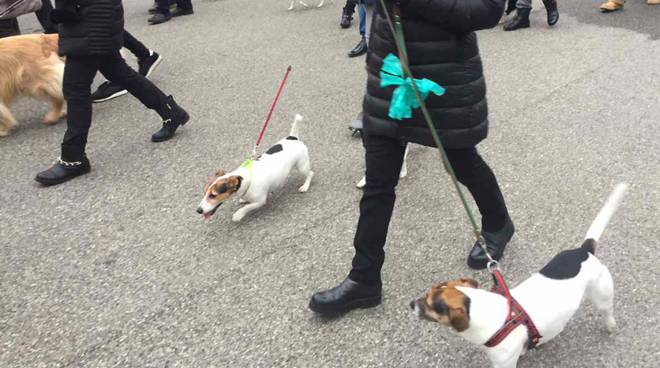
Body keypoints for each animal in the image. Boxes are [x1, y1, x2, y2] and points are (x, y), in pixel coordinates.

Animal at [410, 185, 628, 368]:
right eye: (427, 293)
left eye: (430, 304)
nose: (410, 303)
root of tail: (584, 250)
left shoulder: (503, 363)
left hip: (602, 294)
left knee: (607, 311)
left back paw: (610, 325)